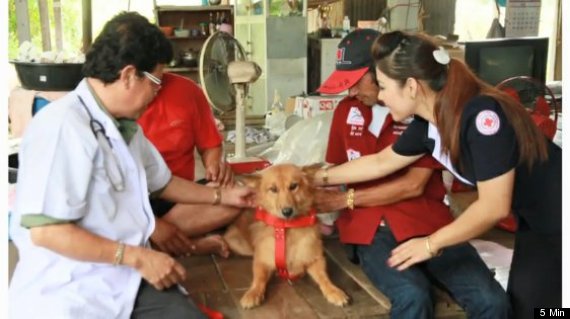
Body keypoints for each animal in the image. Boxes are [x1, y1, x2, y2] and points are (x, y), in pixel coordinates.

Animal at [221, 165, 346, 310]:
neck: (287, 228)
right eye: (273, 189)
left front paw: (334, 291)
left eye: (293, 186)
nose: (287, 211)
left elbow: (324, 277)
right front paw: (253, 293)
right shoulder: (261, 261)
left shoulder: (315, 259)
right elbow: (258, 278)